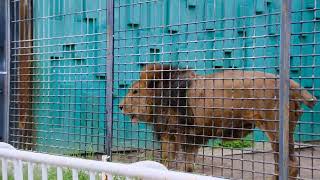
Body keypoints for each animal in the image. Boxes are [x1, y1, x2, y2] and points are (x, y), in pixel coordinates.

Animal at [119, 63, 316, 179]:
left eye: (135, 91)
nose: (120, 106)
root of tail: (290, 83)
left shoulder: (175, 132)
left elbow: (169, 162)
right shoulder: (192, 137)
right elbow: (187, 165)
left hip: (275, 129)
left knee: (289, 164)